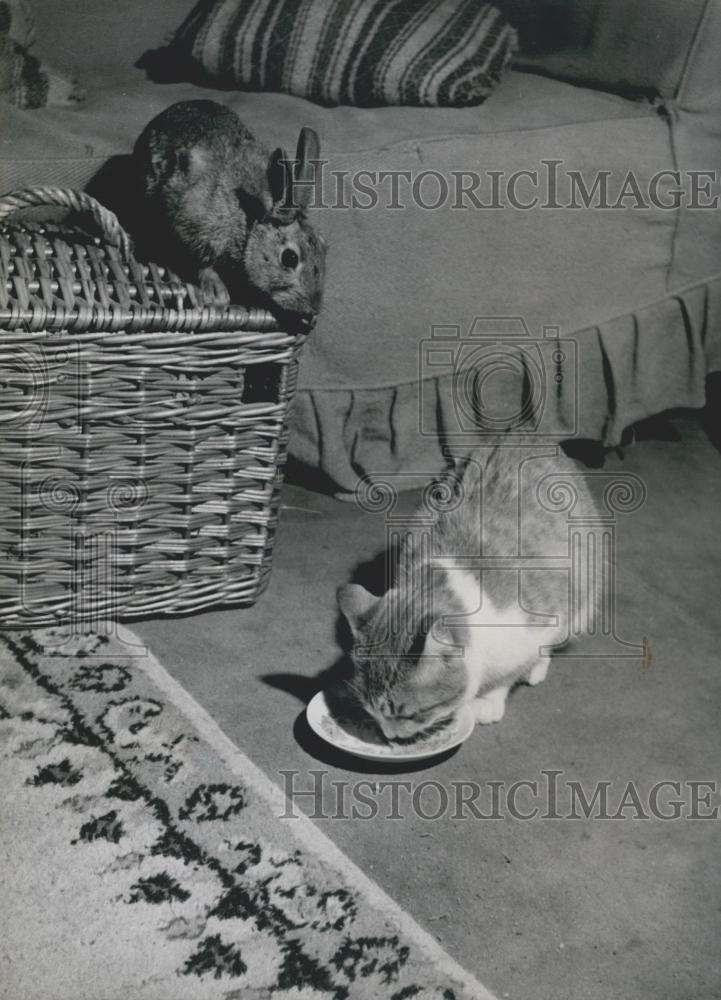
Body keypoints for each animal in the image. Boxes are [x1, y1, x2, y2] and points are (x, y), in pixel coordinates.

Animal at [135, 100, 326, 328]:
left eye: (324, 247)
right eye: (290, 258)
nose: (312, 312)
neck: (249, 224)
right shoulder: (194, 228)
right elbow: (202, 263)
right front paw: (216, 295)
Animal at [338, 446, 596, 744]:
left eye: (407, 714)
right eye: (369, 710)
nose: (389, 736)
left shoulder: (535, 628)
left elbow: (509, 673)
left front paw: (489, 699)